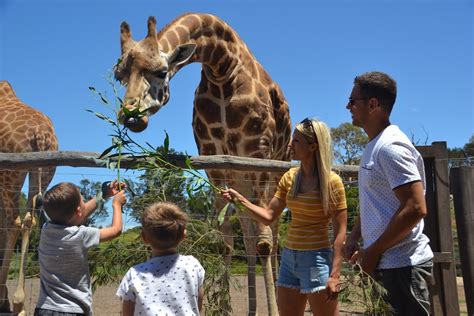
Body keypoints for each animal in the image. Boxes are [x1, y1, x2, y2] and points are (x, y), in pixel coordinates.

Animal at [115, 13, 292, 314]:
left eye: (161, 72)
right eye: (119, 75)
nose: (130, 115)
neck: (222, 70)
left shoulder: (258, 153)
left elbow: (266, 242)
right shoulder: (215, 162)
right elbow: (224, 243)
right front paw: (222, 307)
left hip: (274, 171)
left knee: (274, 234)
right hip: (241, 183)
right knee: (248, 236)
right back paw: (253, 308)